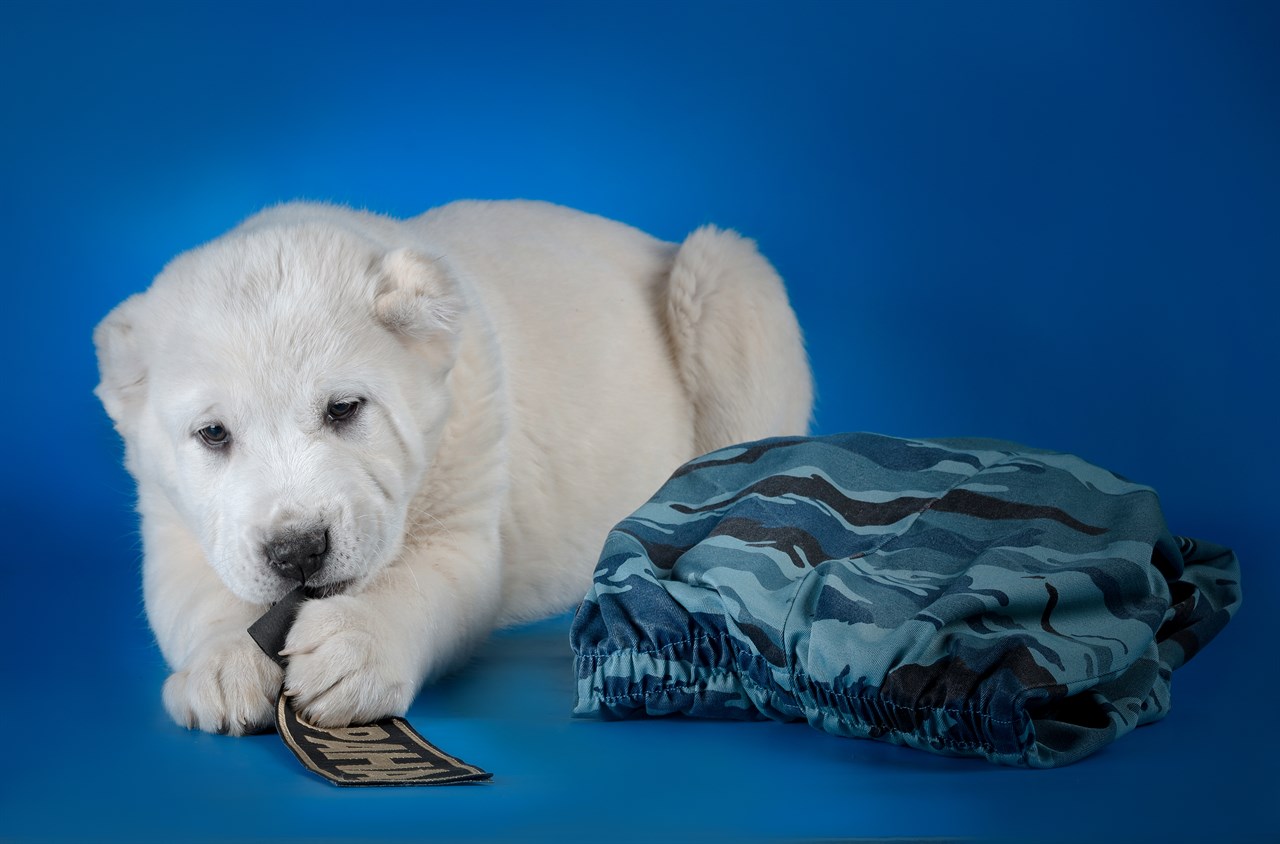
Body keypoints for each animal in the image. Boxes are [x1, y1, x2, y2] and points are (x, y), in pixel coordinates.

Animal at [97, 201, 808, 737]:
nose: (298, 550)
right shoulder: (168, 515)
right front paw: (225, 664)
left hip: (723, 279)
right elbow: (195, 592)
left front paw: (352, 648)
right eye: (213, 433)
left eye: (344, 408)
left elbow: (430, 581)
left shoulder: (467, 475)